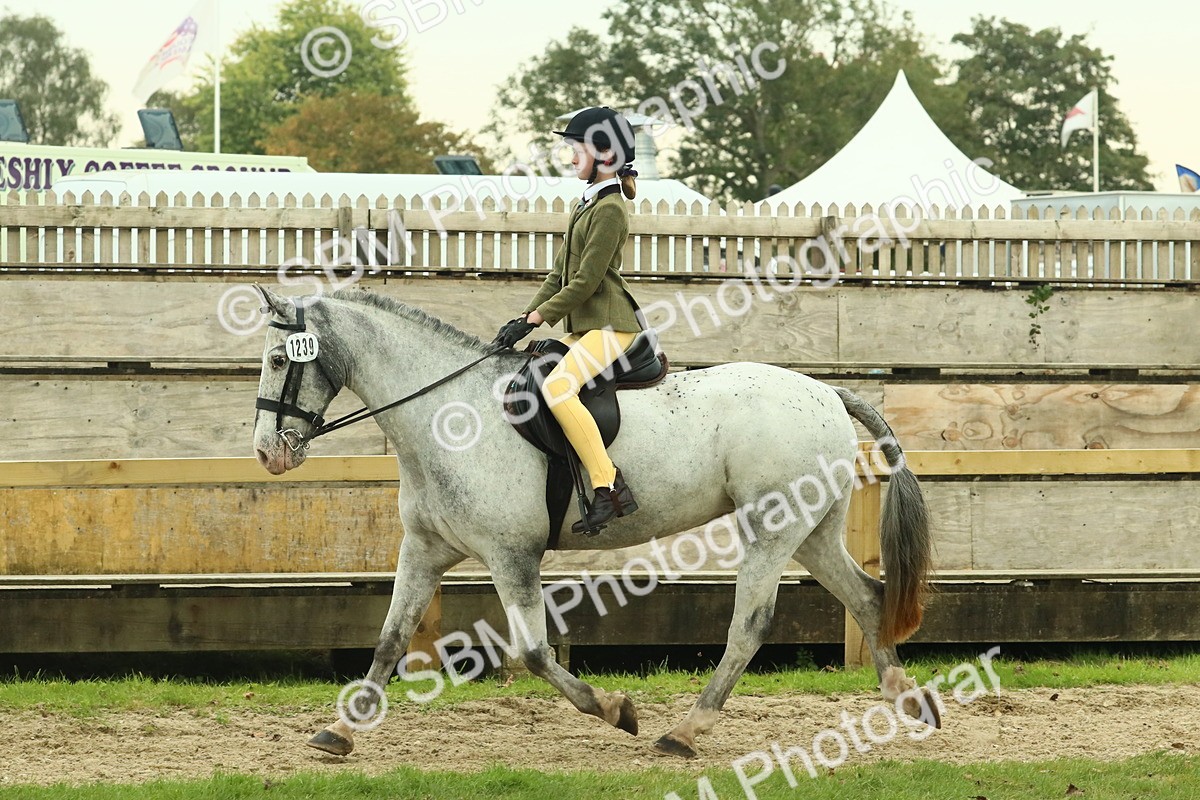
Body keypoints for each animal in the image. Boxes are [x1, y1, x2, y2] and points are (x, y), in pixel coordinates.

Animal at [250, 284, 939, 759]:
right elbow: (390, 640)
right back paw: (907, 701)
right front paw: (339, 731)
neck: (448, 414)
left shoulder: (512, 555)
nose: (267, 453)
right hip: (811, 532)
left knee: (751, 624)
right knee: (868, 596)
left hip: (770, 528)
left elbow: (533, 652)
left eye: (282, 360)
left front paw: (616, 710)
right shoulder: (424, 549)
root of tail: (824, 391)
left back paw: (684, 733)